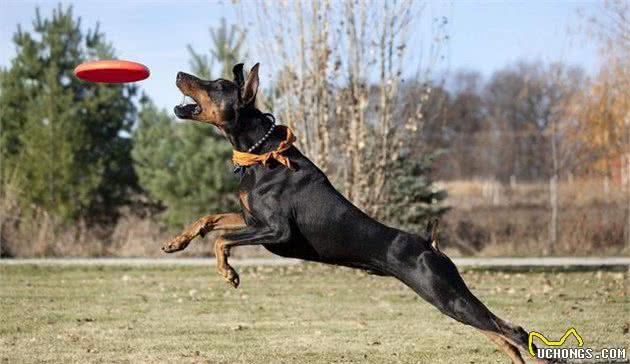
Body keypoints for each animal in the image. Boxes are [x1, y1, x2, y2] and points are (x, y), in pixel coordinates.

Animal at [164, 63, 552, 364]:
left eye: (218, 85)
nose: (180, 74)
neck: (262, 155)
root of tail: (431, 245)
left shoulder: (277, 232)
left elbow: (222, 239)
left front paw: (228, 273)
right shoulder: (252, 220)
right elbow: (211, 219)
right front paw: (177, 242)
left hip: (444, 292)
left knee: (512, 329)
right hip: (446, 299)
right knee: (499, 333)